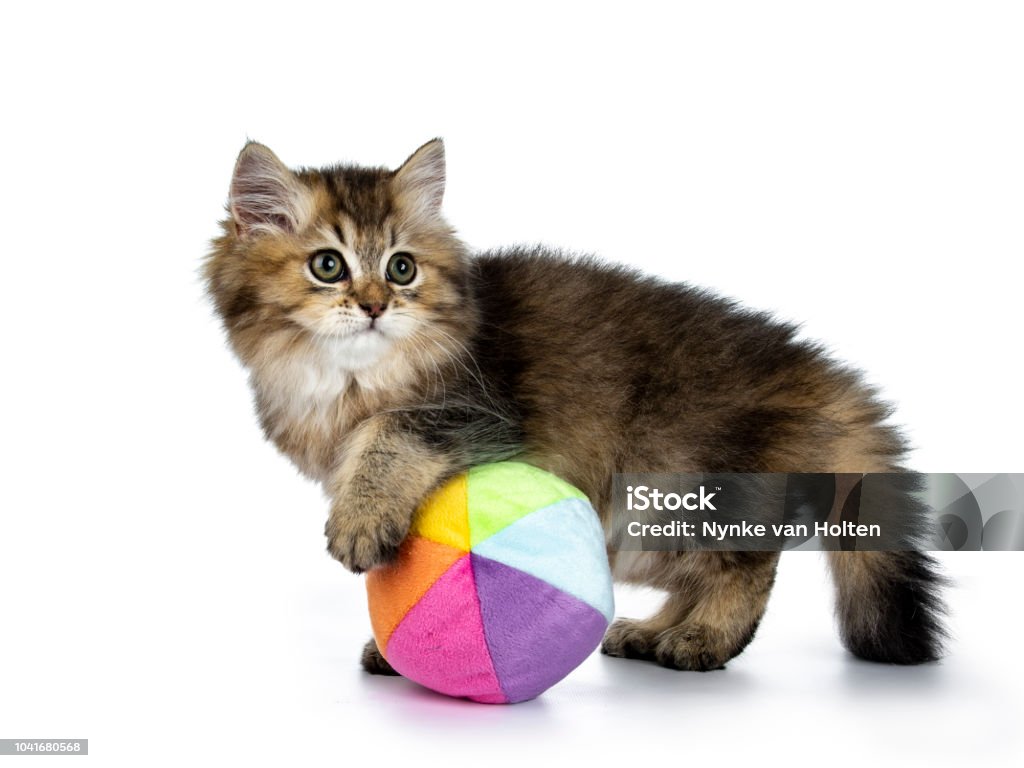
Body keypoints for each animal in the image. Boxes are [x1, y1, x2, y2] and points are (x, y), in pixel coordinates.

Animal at [203, 138, 946, 671]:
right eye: (328, 266)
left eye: (401, 268)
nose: (375, 306)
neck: (346, 380)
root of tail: (801, 360)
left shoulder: (475, 413)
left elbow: (391, 433)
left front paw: (359, 522)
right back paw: (652, 632)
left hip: (673, 489)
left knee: (746, 568)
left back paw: (702, 640)